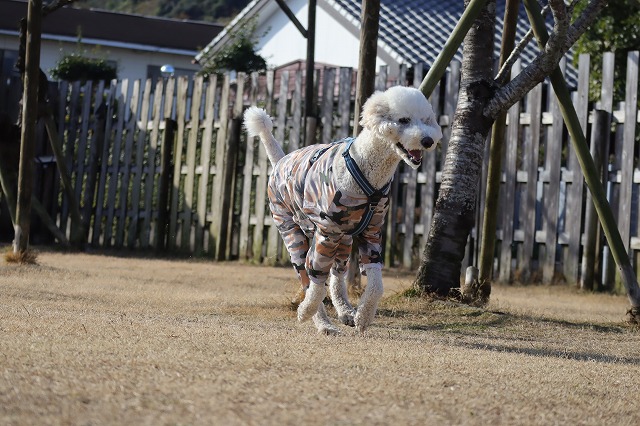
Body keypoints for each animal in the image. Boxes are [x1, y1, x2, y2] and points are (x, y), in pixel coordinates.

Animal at [243, 86, 442, 334]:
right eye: (403, 120)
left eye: (426, 120)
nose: (427, 140)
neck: (366, 172)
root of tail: (280, 161)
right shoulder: (326, 234)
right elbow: (316, 283)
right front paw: (306, 312)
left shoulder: (372, 233)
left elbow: (376, 284)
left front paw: (363, 318)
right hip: (293, 232)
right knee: (307, 276)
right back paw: (322, 322)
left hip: (344, 240)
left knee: (337, 277)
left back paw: (346, 311)